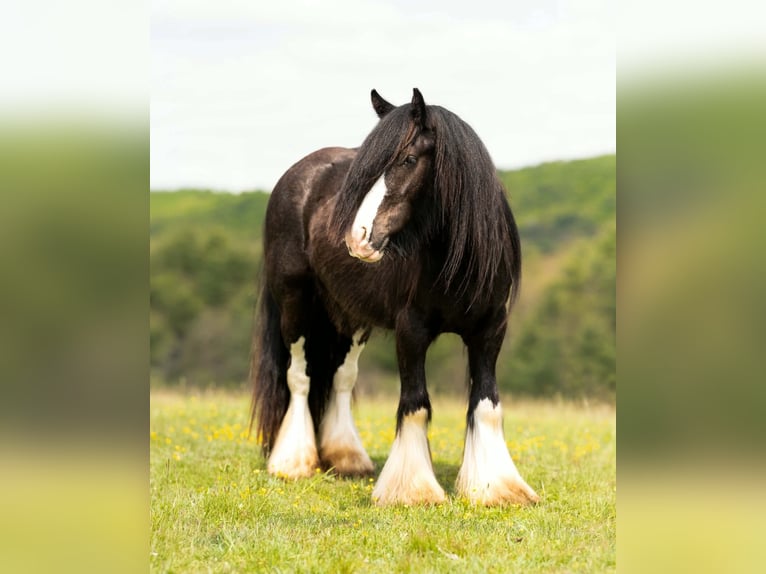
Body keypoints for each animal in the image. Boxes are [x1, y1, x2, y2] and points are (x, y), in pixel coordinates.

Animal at [250, 88, 539, 506]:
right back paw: (293, 462)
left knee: (341, 377)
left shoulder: (489, 332)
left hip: (351, 319)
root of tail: (296, 175)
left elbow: (486, 406)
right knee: (299, 377)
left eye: (408, 159)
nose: (357, 237)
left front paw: (495, 488)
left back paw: (348, 458)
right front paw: (413, 490)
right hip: (295, 306)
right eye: (366, 170)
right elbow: (415, 404)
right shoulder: (411, 331)